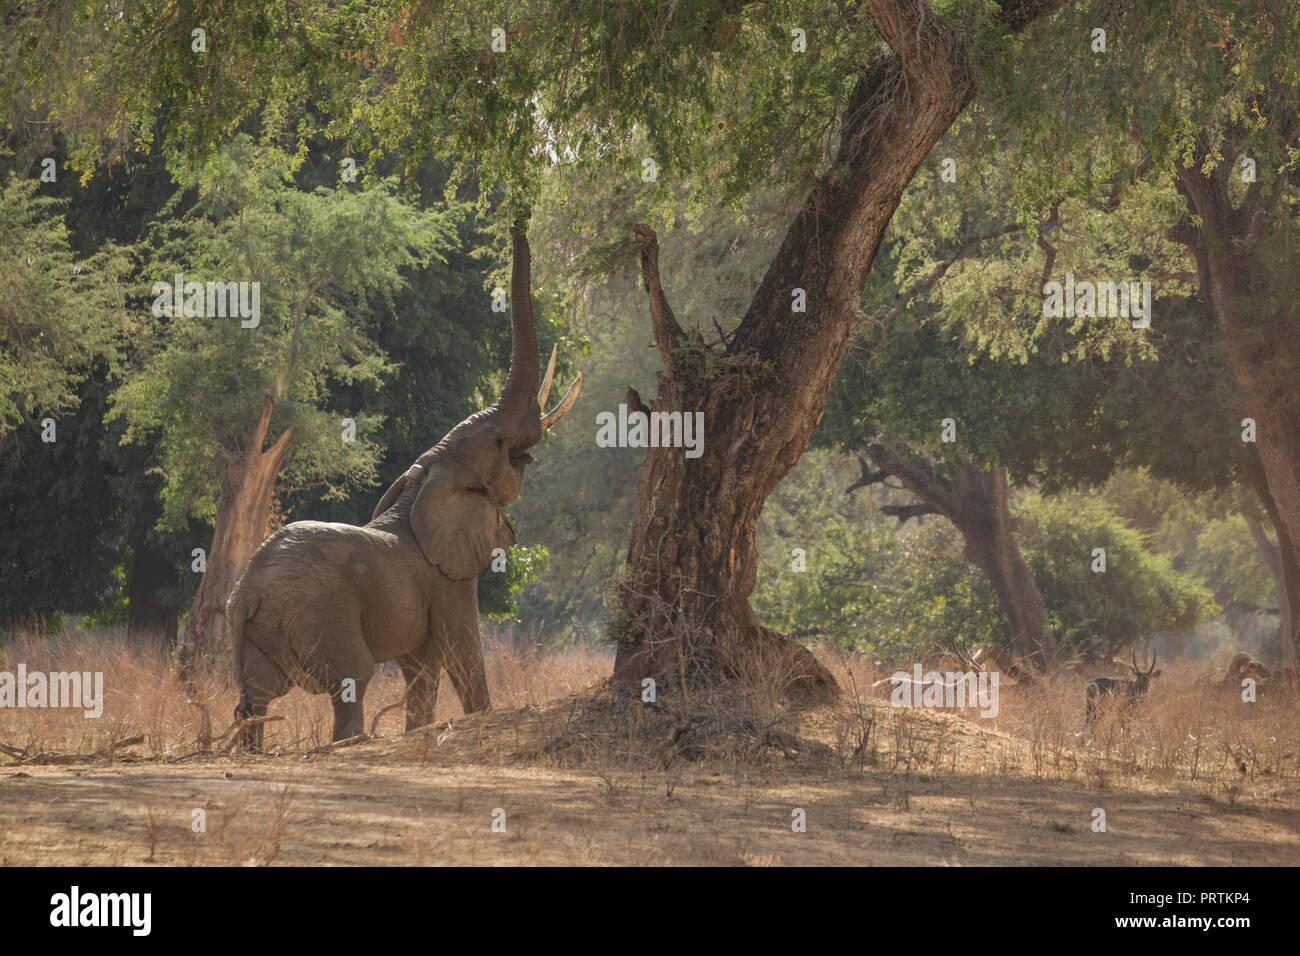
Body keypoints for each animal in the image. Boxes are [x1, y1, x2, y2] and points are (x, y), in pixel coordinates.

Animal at [226, 227, 582, 749]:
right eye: (499, 443)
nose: (517, 222)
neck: (426, 479)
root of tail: (247, 591)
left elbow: (423, 670)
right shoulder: (448, 577)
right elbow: (463, 653)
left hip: (261, 632)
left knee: (255, 699)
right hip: (320, 616)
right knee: (351, 682)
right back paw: (350, 743)